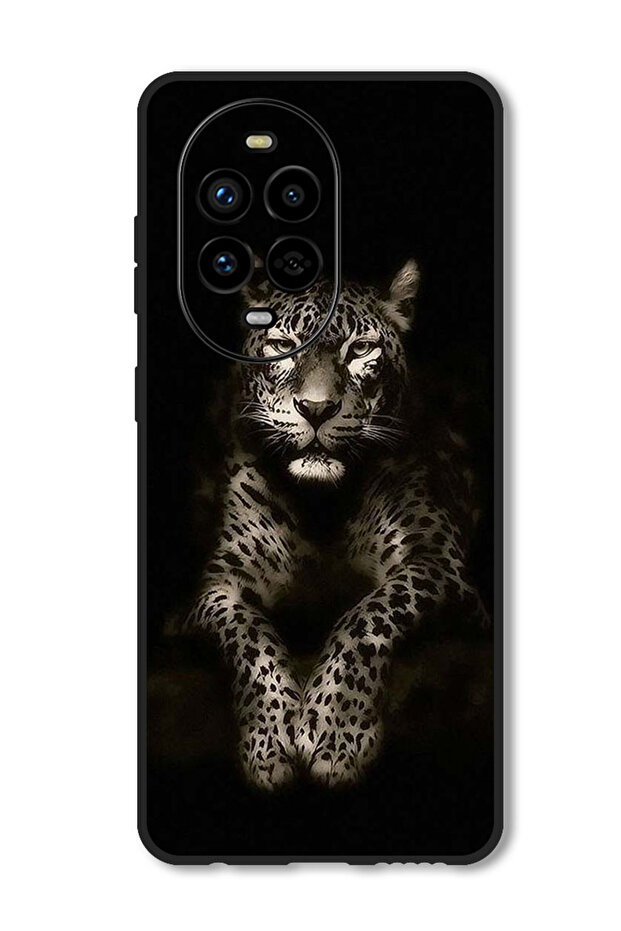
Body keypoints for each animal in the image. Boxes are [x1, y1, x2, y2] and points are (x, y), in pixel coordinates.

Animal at [178, 259, 489, 789]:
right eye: (283, 345)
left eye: (360, 349)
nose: (317, 409)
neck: (321, 507)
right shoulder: (219, 585)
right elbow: (248, 636)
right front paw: (269, 740)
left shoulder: (437, 561)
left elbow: (368, 615)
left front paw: (336, 731)